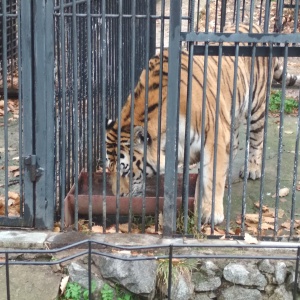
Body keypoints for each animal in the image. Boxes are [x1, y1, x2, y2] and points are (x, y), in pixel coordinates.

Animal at [105, 23, 300, 224]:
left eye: (126, 172)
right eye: (109, 170)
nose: (118, 196)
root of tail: (255, 26)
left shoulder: (214, 136)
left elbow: (212, 178)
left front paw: (212, 213)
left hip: (256, 106)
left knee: (256, 139)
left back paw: (252, 168)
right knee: (235, 143)